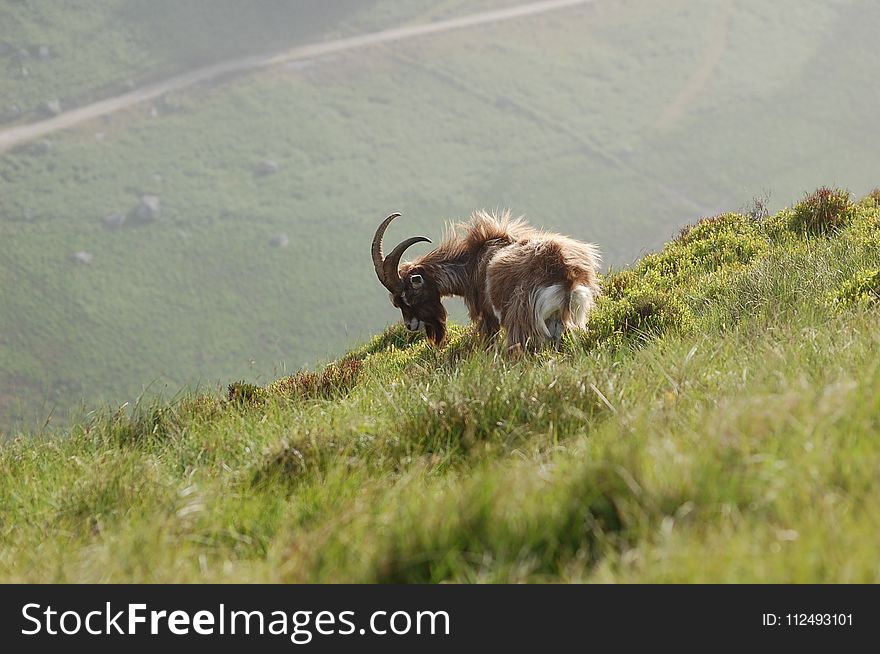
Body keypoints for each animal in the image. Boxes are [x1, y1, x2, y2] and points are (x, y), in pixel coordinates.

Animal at [368, 213, 600, 352]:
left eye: (409, 296)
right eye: (396, 302)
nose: (410, 325)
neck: (472, 263)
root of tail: (567, 274)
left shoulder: (487, 317)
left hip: (521, 317)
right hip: (569, 318)